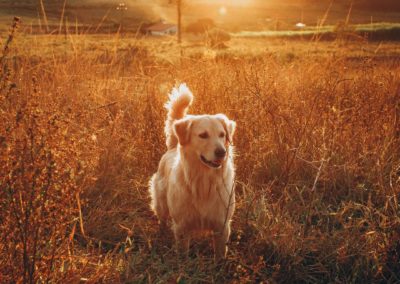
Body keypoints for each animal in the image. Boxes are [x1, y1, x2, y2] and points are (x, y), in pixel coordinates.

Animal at [150, 82, 238, 260]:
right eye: (203, 135)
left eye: (222, 134)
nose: (222, 152)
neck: (204, 181)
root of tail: (173, 147)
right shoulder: (182, 227)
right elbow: (183, 254)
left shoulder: (222, 225)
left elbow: (220, 255)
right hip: (161, 203)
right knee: (162, 220)